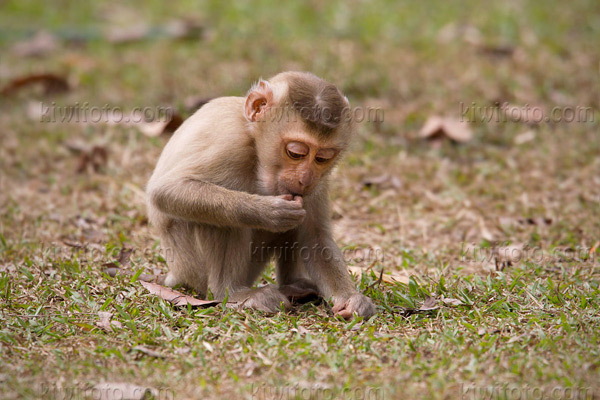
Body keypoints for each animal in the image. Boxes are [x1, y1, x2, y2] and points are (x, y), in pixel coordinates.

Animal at [146, 70, 376, 318]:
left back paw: (293, 285)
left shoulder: (319, 181)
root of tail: (175, 272)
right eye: (295, 152)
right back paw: (232, 292)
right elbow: (165, 191)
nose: (305, 179)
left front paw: (351, 299)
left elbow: (315, 236)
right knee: (222, 218)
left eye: (322, 158)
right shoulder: (231, 142)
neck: (253, 140)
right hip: (191, 267)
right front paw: (268, 212)